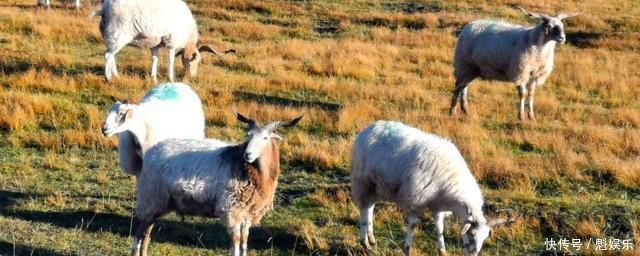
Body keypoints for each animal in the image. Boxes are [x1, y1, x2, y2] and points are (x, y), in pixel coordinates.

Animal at [95, 0, 235, 82]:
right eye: (196, 61)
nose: (192, 77)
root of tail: (104, 9)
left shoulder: (155, 45)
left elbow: (154, 59)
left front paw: (154, 78)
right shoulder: (171, 43)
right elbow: (170, 61)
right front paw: (171, 79)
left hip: (114, 37)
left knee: (111, 55)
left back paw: (117, 76)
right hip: (118, 35)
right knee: (108, 55)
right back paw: (108, 78)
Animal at [131, 112, 304, 256]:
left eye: (265, 138)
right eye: (248, 136)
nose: (247, 154)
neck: (249, 170)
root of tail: (151, 152)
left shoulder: (247, 213)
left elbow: (244, 241)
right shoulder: (231, 210)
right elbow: (236, 243)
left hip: (160, 202)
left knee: (147, 232)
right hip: (151, 197)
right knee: (139, 233)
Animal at [350, 121, 520, 256]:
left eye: (485, 237)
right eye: (471, 234)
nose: (473, 254)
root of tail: (369, 128)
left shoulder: (438, 206)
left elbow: (439, 229)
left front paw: (442, 251)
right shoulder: (415, 199)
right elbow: (413, 225)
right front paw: (407, 249)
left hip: (377, 186)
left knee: (370, 207)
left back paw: (371, 239)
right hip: (363, 181)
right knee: (364, 208)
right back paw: (365, 243)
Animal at [450, 6, 580, 121]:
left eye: (562, 26)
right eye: (549, 26)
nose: (562, 38)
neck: (535, 44)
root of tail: (468, 26)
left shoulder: (534, 75)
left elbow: (531, 95)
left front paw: (531, 117)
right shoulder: (521, 72)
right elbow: (523, 94)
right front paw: (521, 117)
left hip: (473, 68)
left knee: (464, 87)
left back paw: (465, 110)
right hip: (464, 64)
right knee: (458, 87)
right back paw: (452, 112)